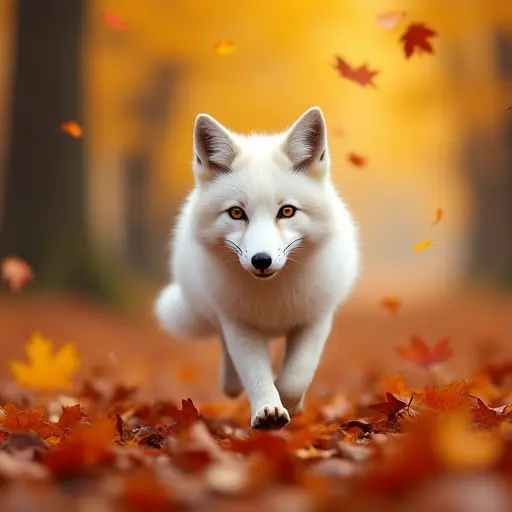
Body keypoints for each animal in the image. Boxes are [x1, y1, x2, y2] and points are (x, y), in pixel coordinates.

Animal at [156, 107, 360, 428]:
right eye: (236, 213)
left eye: (286, 211)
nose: (261, 260)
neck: (273, 300)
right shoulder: (240, 324)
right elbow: (256, 375)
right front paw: (268, 410)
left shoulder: (315, 319)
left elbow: (294, 378)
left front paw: (290, 403)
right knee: (225, 349)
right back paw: (231, 384)